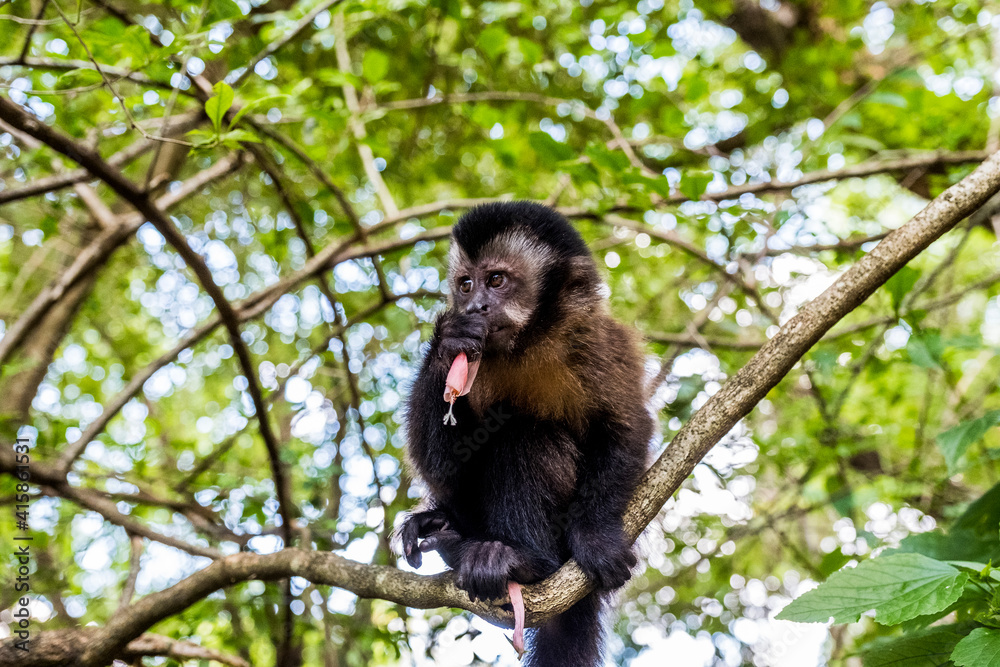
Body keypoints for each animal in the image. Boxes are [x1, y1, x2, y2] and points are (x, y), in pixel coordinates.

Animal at [399, 201, 654, 666]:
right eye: (466, 285)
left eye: (497, 280)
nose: (476, 306)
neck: (527, 345)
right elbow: (442, 467)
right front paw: (448, 342)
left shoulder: (599, 343)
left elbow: (625, 428)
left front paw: (595, 536)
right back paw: (453, 537)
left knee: (529, 435)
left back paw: (525, 560)